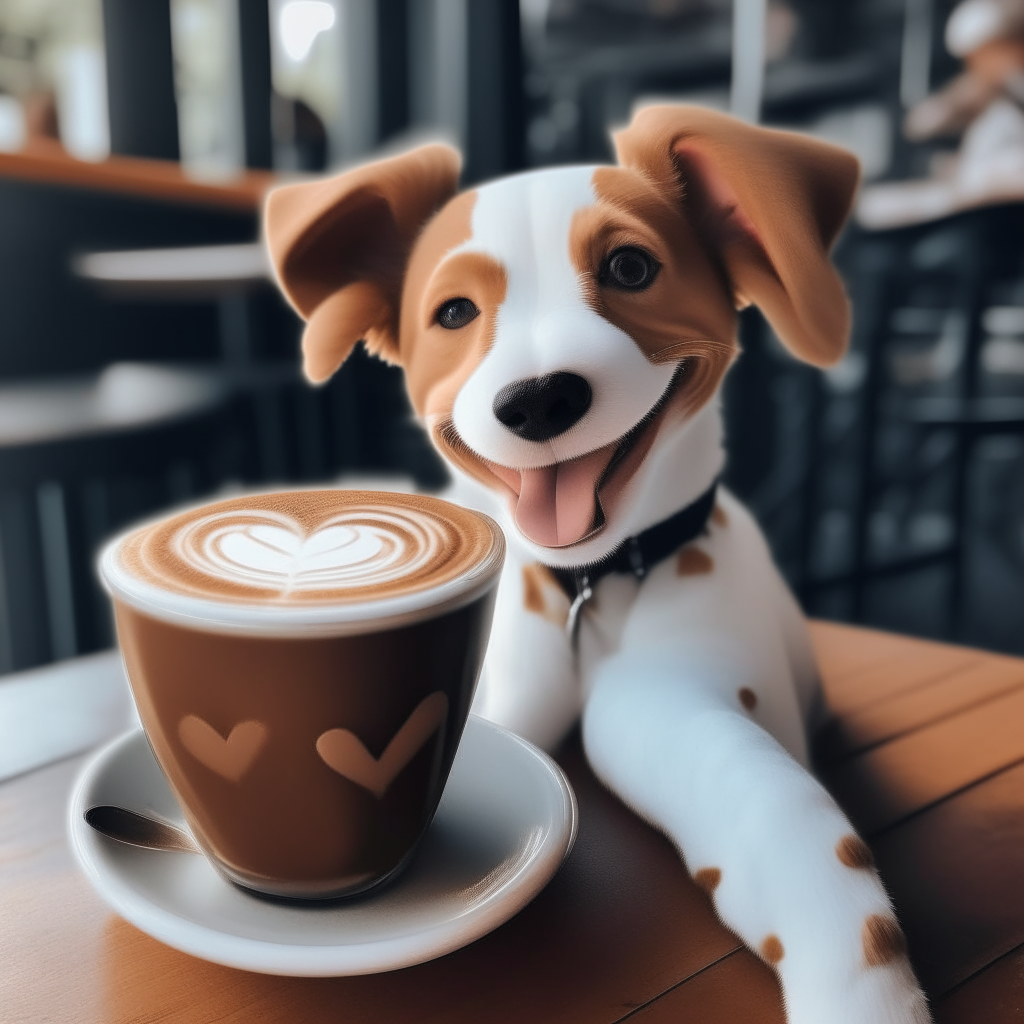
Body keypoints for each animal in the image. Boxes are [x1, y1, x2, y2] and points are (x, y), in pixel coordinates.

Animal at [268, 105, 933, 1024]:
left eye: (630, 267)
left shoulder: (691, 710)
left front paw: (865, 999)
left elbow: (802, 834)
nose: (538, 399)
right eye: (454, 313)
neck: (590, 586)